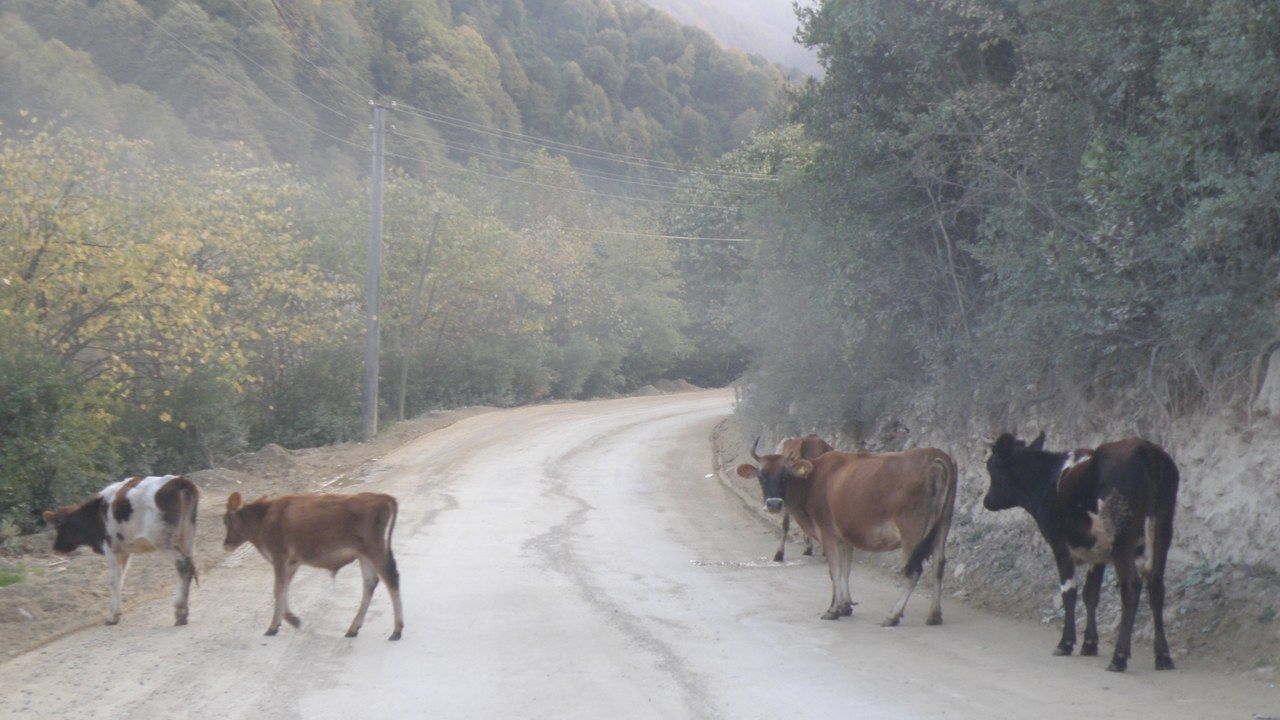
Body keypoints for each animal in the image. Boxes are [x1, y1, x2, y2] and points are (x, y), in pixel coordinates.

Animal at [42, 475, 199, 626]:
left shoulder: (110, 548)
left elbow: (113, 581)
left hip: (163, 540)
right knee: (190, 565)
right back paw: (184, 613)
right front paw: (116, 611)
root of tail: (177, 481)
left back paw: (180, 611)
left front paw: (113, 616)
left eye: (59, 526)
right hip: (186, 534)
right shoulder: (124, 552)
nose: (55, 547)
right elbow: (121, 579)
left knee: (182, 564)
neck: (96, 512)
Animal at [222, 491, 405, 640]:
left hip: (374, 550)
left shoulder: (280, 557)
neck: (264, 519)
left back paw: (396, 630)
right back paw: (353, 629)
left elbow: (278, 589)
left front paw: (274, 626)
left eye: (227, 520)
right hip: (363, 555)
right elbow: (284, 588)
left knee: (391, 579)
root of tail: (383, 497)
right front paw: (292, 620)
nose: (226, 544)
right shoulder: (292, 562)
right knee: (370, 583)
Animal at [738, 447, 957, 626]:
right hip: (943, 524)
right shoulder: (845, 536)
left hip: (911, 531)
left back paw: (893, 615)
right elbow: (845, 571)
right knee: (938, 566)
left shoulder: (828, 533)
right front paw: (845, 605)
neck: (813, 480)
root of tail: (934, 457)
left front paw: (833, 609)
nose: (774, 504)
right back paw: (934, 615)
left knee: (914, 571)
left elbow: (834, 571)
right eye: (761, 476)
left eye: (785, 476)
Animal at [982, 431, 1179, 672]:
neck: (1049, 480)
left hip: (1123, 539)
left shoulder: (1060, 545)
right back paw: (1163, 656)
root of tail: (1146, 448)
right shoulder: (1097, 552)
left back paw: (1119, 657)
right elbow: (1091, 594)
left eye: (991, 466)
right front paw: (1090, 643)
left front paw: (1066, 643)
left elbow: (1069, 592)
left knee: (1131, 587)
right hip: (1163, 531)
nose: (987, 501)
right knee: (1156, 587)